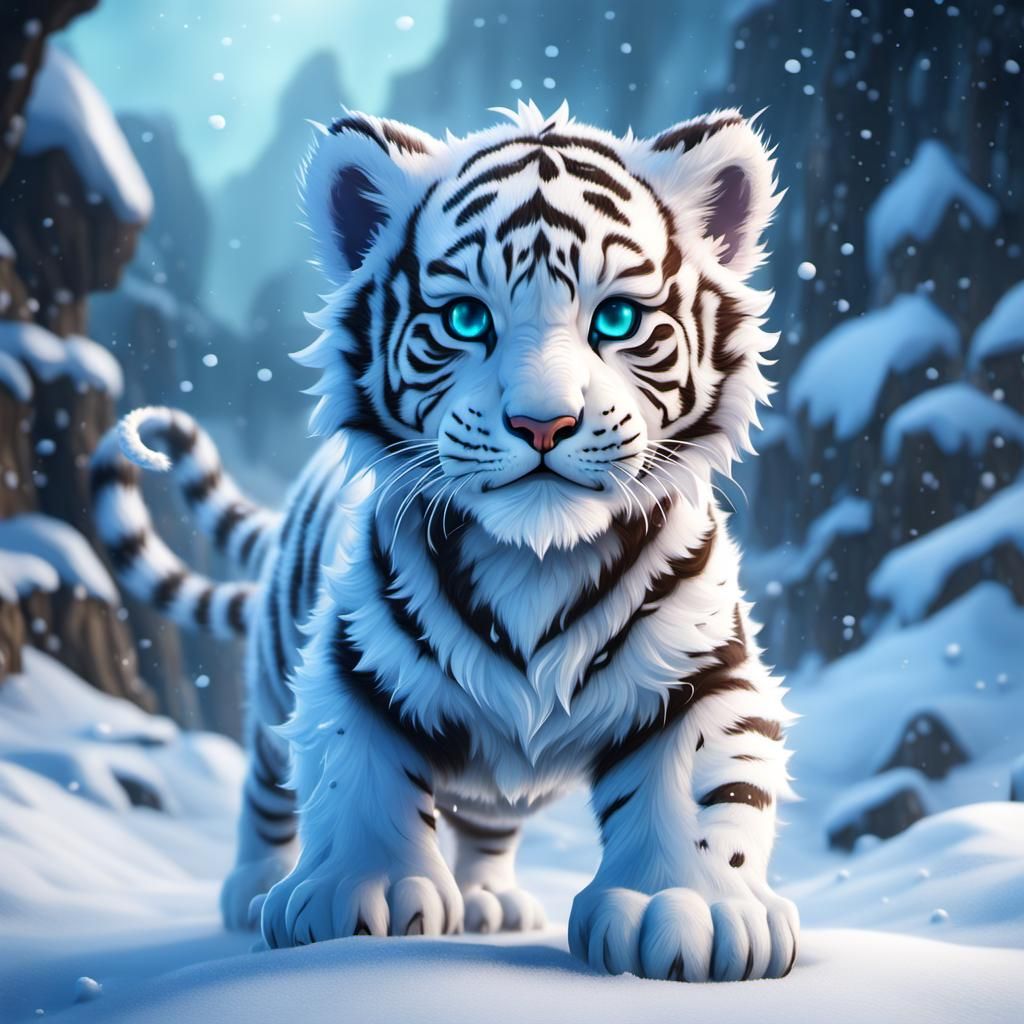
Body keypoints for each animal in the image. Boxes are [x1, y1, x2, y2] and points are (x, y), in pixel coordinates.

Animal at [90, 100, 798, 982]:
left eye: (617, 319)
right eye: (465, 319)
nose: (542, 423)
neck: (535, 559)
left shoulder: (703, 668)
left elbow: (701, 788)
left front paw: (685, 910)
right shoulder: (356, 659)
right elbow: (359, 772)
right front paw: (363, 896)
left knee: (489, 818)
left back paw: (492, 901)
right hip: (271, 679)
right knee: (265, 784)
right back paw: (251, 889)